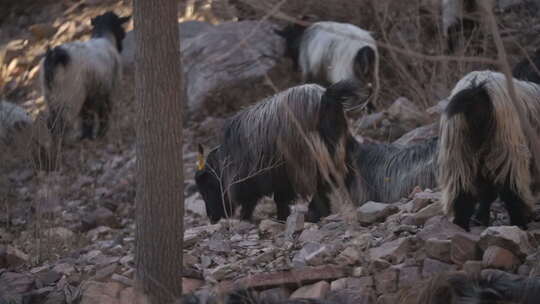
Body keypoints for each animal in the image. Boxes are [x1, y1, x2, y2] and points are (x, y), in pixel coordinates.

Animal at [195, 80, 372, 223]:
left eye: (208, 186)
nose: (212, 217)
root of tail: (326, 98)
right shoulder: (279, 177)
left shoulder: (260, 177)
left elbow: (258, 199)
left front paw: (250, 217)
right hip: (337, 149)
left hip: (308, 158)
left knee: (318, 185)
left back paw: (314, 214)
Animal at [438, 70, 540, 230]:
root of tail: (476, 90)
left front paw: (480, 218)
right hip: (505, 145)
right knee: (510, 188)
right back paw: (519, 223)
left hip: (458, 147)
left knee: (462, 191)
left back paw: (461, 225)